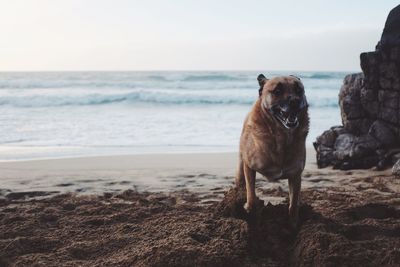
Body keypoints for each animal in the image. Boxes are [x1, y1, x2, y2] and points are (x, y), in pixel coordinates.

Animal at [234, 74, 310, 227]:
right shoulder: (249, 166)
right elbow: (251, 194)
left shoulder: (295, 175)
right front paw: (250, 211)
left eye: (299, 90)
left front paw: (293, 224)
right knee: (241, 181)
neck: (281, 137)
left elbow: (294, 203)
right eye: (277, 91)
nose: (295, 101)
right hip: (241, 164)